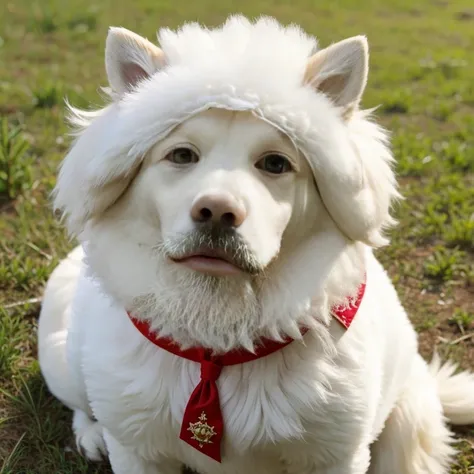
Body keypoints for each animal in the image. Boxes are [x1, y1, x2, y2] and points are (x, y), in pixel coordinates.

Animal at [38, 15, 474, 474]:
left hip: (409, 416)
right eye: (181, 155)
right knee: (82, 405)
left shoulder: (337, 454)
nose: (216, 212)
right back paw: (91, 434)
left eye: (275, 163)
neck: (219, 345)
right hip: (65, 364)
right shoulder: (137, 449)